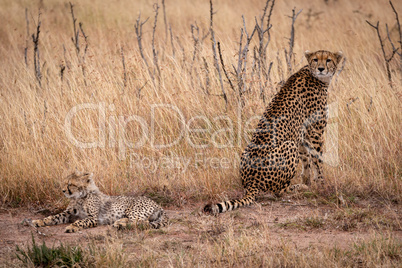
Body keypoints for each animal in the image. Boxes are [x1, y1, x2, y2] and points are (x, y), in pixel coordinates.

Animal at [28, 172, 168, 232]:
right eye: (64, 183)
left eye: (70, 184)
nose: (63, 191)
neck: (80, 196)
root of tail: (157, 204)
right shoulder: (68, 213)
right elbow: (52, 217)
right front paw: (38, 221)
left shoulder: (94, 217)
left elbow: (80, 221)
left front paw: (72, 227)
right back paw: (119, 222)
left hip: (133, 210)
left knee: (140, 222)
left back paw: (120, 224)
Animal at [204, 49, 342, 216]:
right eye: (316, 59)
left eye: (328, 60)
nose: (321, 69)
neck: (314, 76)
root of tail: (251, 182)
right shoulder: (315, 132)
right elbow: (318, 159)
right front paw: (321, 184)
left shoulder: (302, 135)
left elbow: (307, 161)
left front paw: (308, 182)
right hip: (289, 145)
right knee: (279, 191)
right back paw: (297, 188)